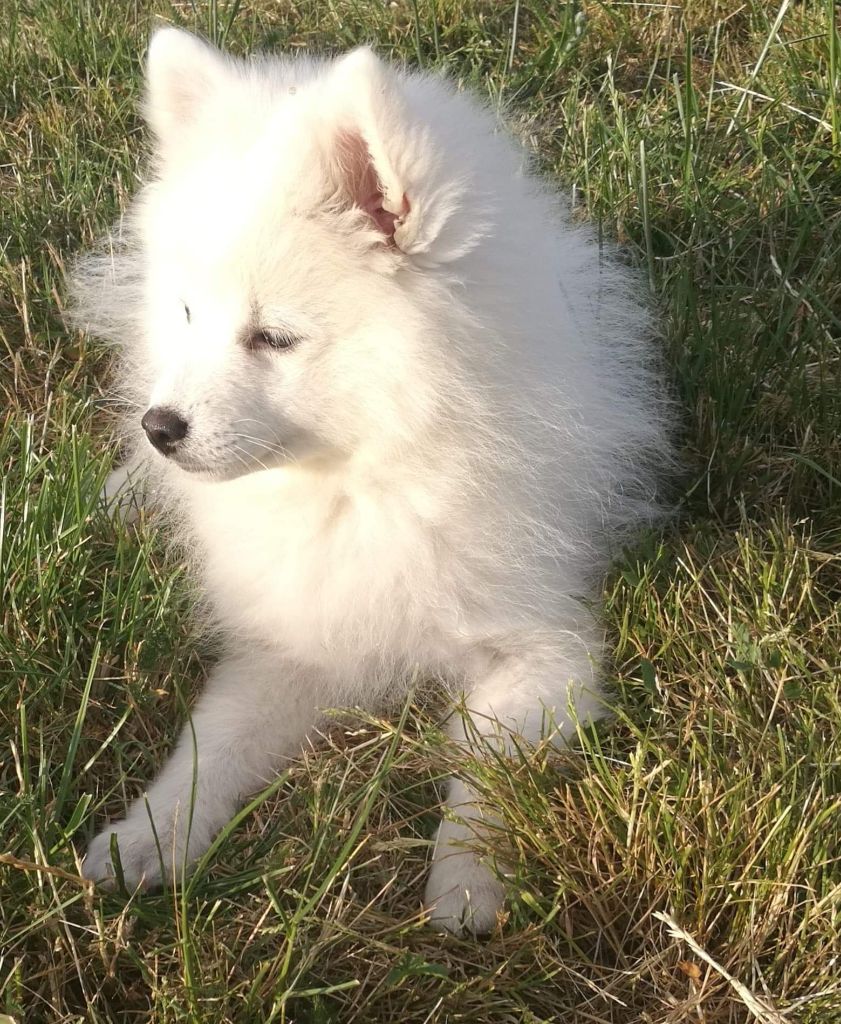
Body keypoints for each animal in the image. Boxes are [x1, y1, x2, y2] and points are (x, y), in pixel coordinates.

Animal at [71, 26, 671, 935]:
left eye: (274, 337)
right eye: (186, 314)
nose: (160, 428)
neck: (365, 476)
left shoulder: (546, 647)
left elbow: (485, 761)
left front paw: (467, 880)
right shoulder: (292, 636)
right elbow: (215, 738)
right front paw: (147, 834)